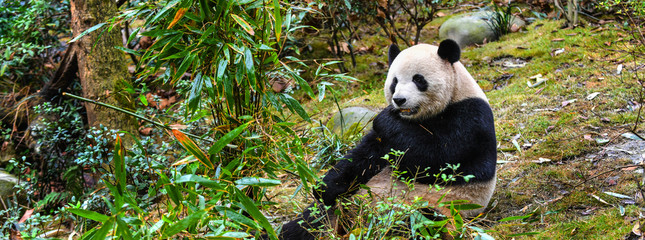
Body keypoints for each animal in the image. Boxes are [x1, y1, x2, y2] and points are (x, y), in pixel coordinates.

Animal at [276, 38, 494, 239]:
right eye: (394, 82)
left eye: (419, 79)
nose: (399, 100)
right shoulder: (384, 142)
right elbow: (366, 156)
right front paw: (325, 187)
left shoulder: (470, 118)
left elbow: (437, 157)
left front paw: (385, 118)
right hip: (341, 204)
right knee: (310, 221)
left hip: (436, 205)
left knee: (417, 220)